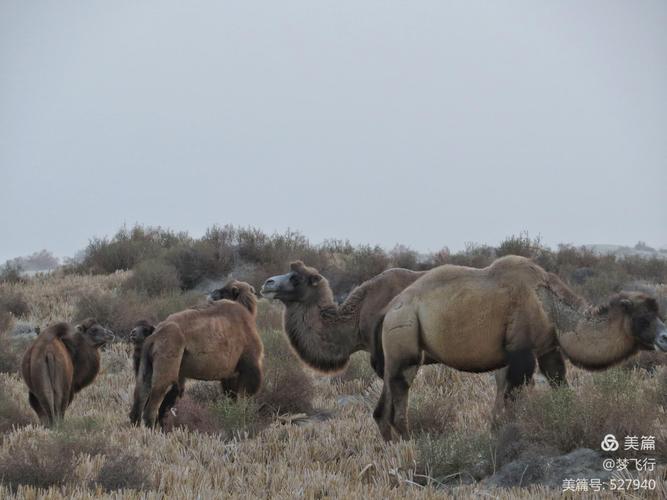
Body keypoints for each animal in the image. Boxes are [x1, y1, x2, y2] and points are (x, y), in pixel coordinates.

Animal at [130, 280, 264, 428]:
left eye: (224, 290)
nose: (212, 293)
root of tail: (154, 336)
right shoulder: (249, 364)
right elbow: (246, 393)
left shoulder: (229, 374)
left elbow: (231, 395)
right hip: (167, 356)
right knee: (153, 403)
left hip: (146, 365)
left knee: (139, 398)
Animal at [374, 256, 667, 440]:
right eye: (644, 318)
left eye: (658, 313)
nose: (664, 337)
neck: (549, 306)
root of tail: (388, 309)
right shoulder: (521, 351)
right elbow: (513, 395)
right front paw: (509, 434)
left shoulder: (547, 349)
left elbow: (558, 383)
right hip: (405, 341)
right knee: (399, 390)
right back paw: (411, 444)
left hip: (396, 352)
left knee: (383, 406)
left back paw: (392, 446)